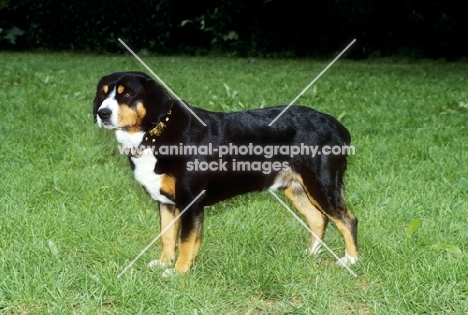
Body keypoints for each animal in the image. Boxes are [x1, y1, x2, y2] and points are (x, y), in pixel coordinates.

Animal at [94, 71, 358, 274]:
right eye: (103, 93)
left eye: (127, 94)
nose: (102, 113)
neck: (155, 135)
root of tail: (336, 125)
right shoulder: (166, 202)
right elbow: (167, 236)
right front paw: (163, 263)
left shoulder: (191, 201)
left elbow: (186, 241)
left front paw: (178, 272)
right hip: (295, 187)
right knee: (318, 219)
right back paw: (311, 253)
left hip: (321, 184)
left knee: (347, 220)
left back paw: (351, 260)